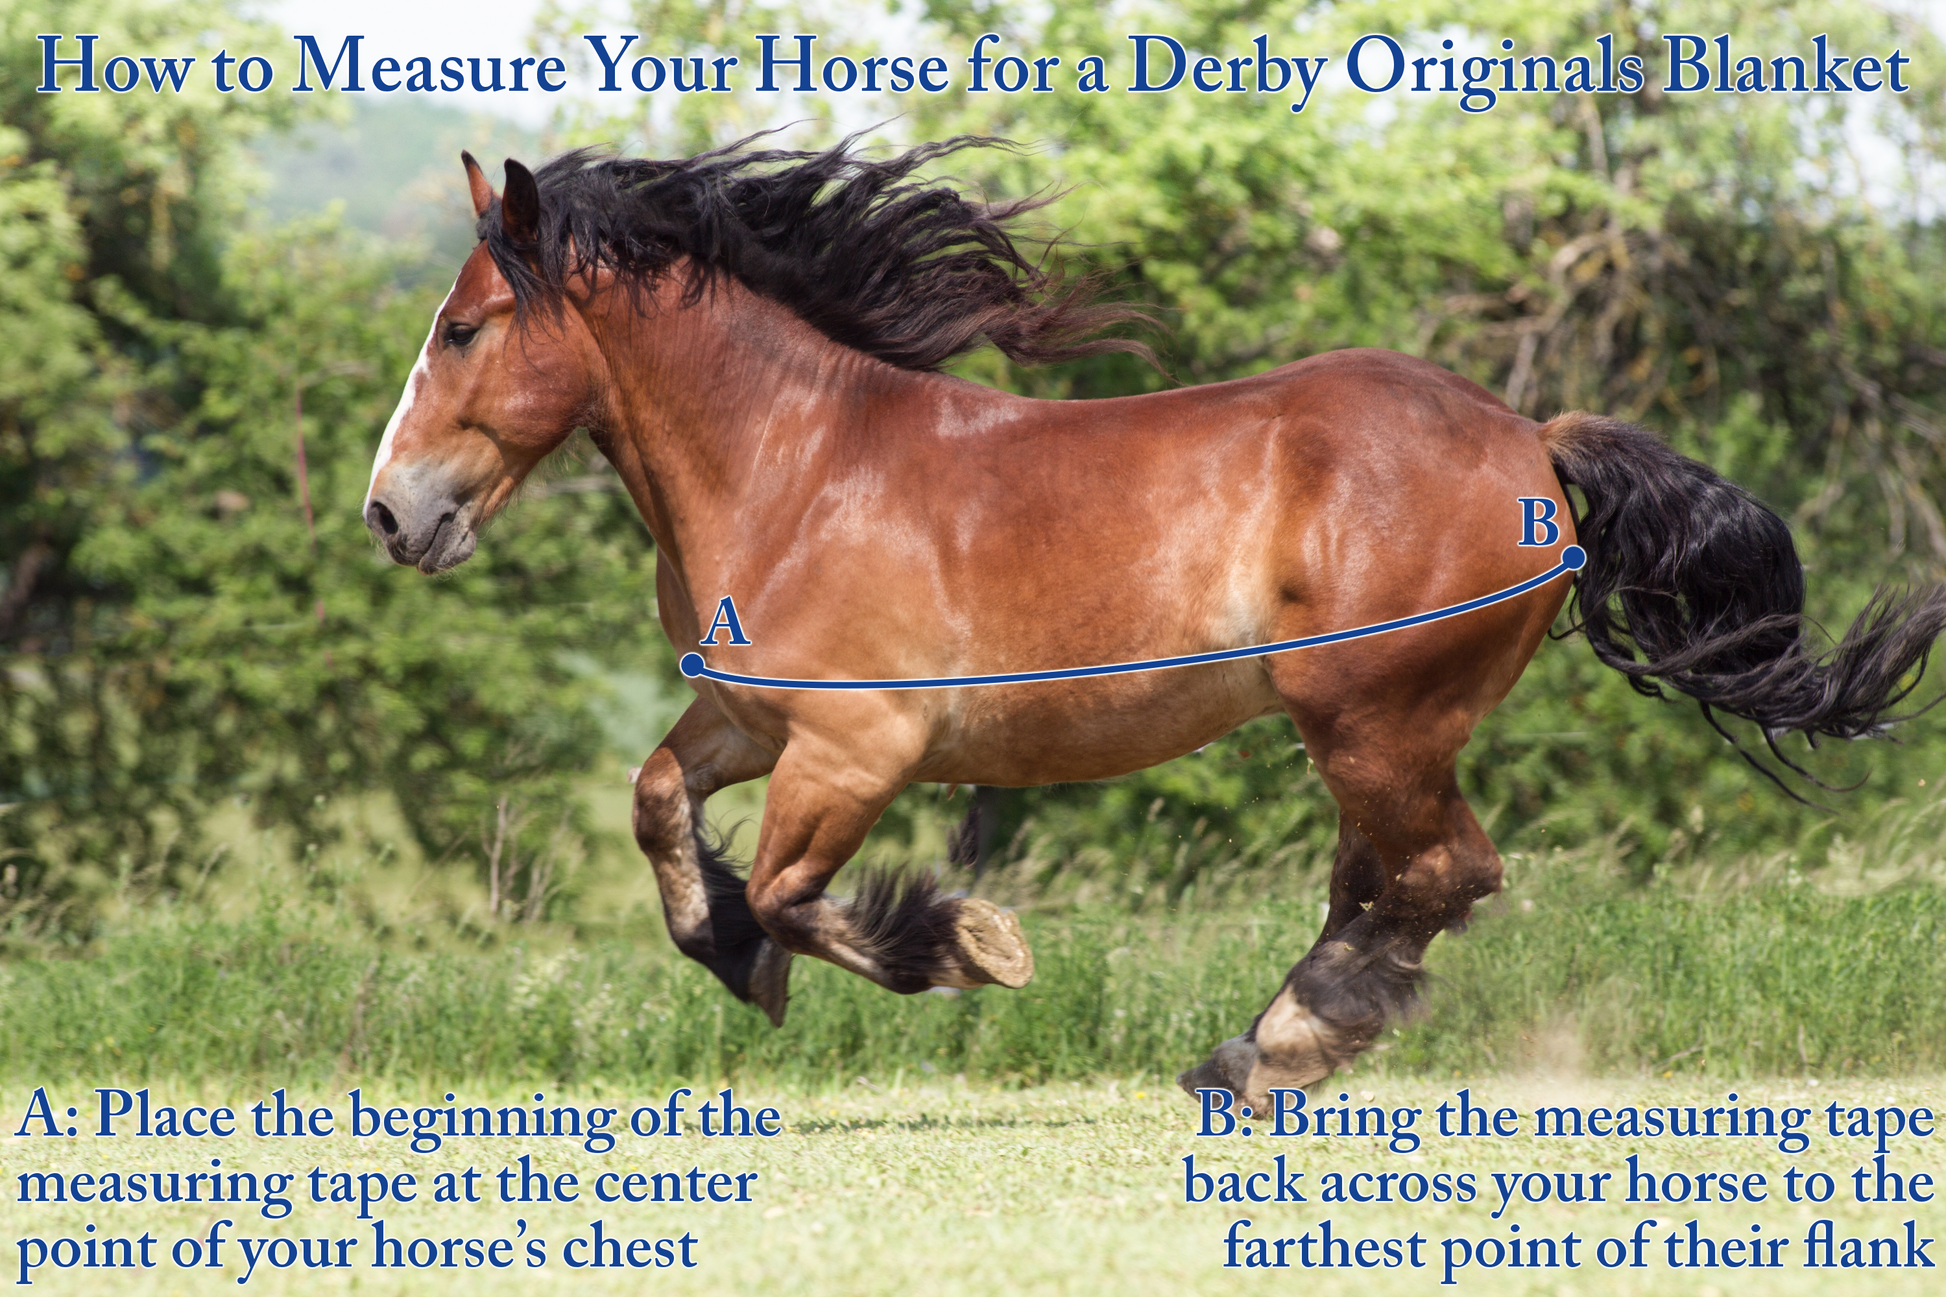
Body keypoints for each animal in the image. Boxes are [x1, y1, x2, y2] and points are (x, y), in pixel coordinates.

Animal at [362, 137, 1946, 1115]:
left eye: (462, 329)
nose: (391, 515)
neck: (795, 468)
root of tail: (1530, 441)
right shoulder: (748, 720)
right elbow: (658, 808)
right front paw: (731, 951)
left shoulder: (857, 748)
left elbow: (801, 893)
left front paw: (968, 946)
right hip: (1365, 736)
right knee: (1388, 882)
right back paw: (1266, 1043)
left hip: (1372, 719)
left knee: (1440, 875)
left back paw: (1271, 1051)